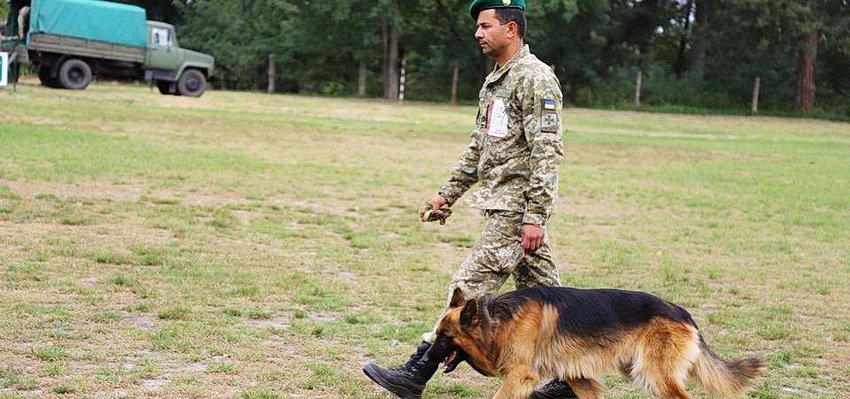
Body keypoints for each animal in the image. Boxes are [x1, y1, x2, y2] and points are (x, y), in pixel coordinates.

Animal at [430, 288, 760, 399]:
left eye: (444, 337)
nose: (427, 357)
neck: (496, 321)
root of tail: (682, 312)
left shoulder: (520, 376)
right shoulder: (578, 377)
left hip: (654, 374)